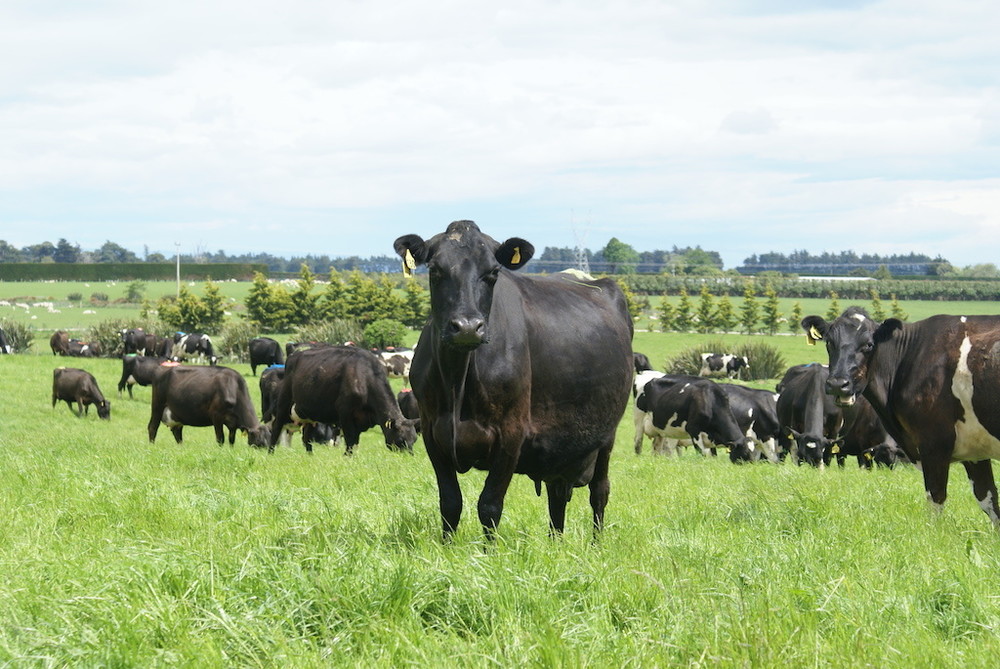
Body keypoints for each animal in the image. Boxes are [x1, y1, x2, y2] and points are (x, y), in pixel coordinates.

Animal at [266, 344, 418, 454]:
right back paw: (271, 452)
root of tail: (294, 356)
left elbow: (355, 441)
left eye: (414, 439)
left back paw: (310, 455)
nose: (409, 456)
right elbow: (350, 439)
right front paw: (348, 457)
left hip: (308, 413)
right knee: (276, 427)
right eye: (401, 440)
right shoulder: (345, 413)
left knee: (306, 436)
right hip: (284, 403)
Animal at [392, 222, 632, 540]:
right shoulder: (433, 432)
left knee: (599, 492)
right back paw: (556, 543)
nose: (467, 327)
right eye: (435, 270)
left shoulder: (511, 433)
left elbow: (490, 505)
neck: (458, 382)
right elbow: (450, 503)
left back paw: (596, 545)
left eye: (493, 272)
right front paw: (447, 547)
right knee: (558, 496)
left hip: (607, 436)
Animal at [800, 306, 1000, 524]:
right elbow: (988, 500)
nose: (838, 384)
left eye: (869, 344)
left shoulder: (933, 442)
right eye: (829, 342)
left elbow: (935, 499)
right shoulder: (975, 450)